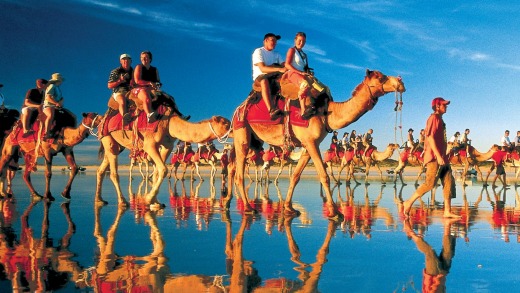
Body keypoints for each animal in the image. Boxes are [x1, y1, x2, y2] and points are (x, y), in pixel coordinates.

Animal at [95, 115, 230, 206]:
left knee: (101, 169)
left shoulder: (167, 146)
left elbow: (157, 171)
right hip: (109, 138)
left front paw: (155, 203)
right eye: (225, 124)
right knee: (115, 172)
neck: (169, 123)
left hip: (115, 144)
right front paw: (148, 199)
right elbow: (162, 170)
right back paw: (123, 201)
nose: (233, 128)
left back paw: (99, 200)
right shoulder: (149, 144)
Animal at [231, 69, 406, 217]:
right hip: (241, 131)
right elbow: (324, 175)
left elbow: (295, 176)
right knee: (239, 172)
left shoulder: (307, 145)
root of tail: (238, 108)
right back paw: (248, 208)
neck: (326, 112)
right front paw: (335, 213)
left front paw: (288, 208)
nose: (400, 82)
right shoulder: (311, 141)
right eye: (381, 77)